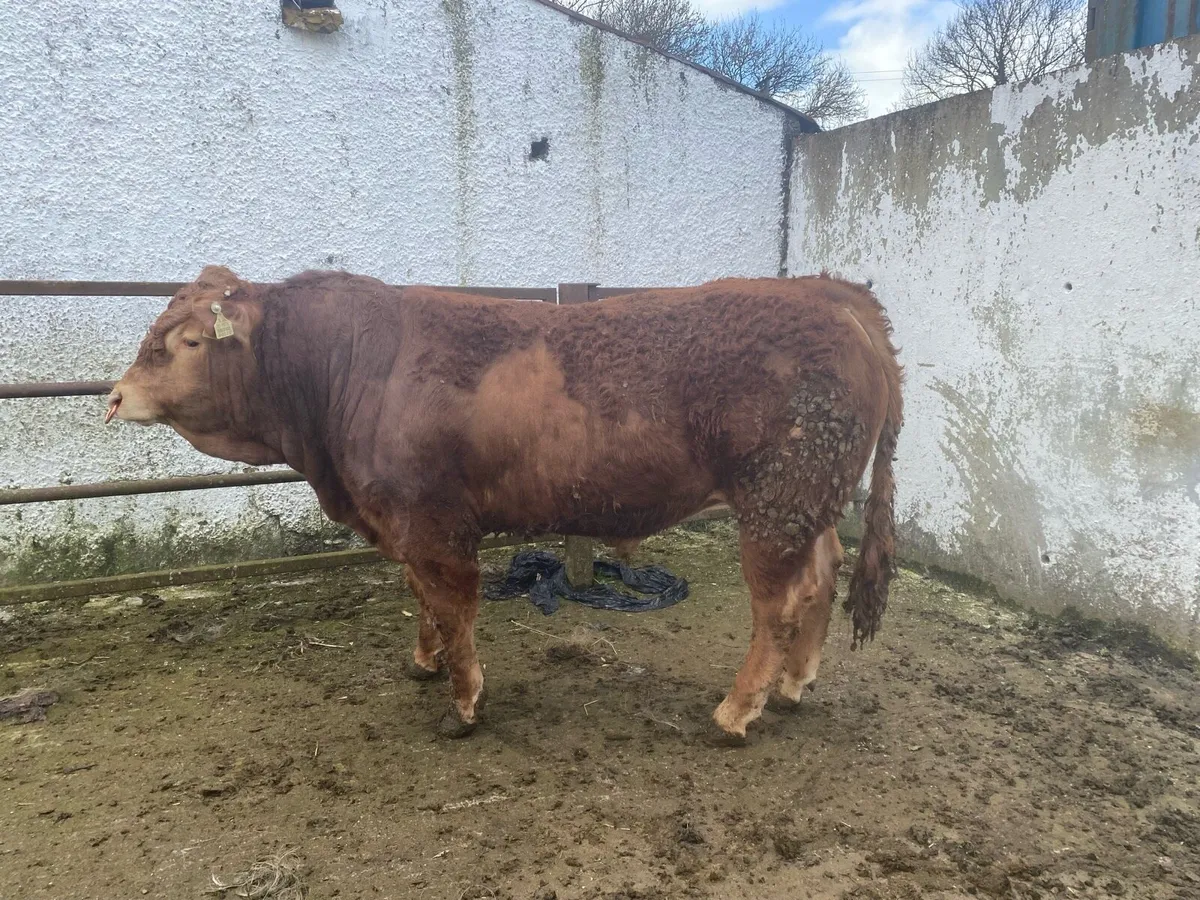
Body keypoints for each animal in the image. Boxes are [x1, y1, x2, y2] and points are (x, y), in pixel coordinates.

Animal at [106, 267, 903, 742]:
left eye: (187, 341)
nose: (113, 397)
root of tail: (826, 292)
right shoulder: (403, 526)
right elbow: (423, 599)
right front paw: (424, 663)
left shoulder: (433, 523)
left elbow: (454, 604)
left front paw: (464, 702)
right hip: (807, 504)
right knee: (823, 576)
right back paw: (794, 686)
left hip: (775, 502)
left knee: (778, 605)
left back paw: (738, 711)